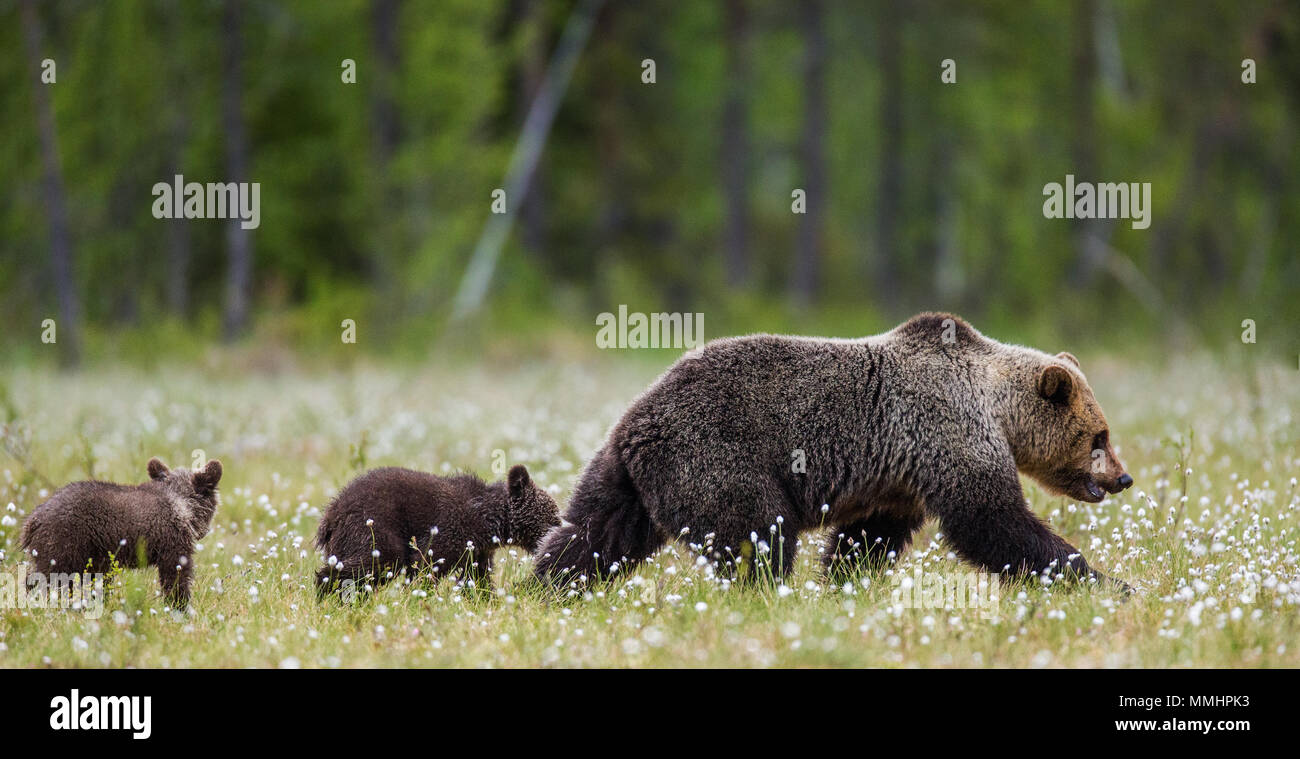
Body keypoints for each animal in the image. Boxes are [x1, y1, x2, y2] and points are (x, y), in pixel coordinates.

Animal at [20, 457, 223, 608]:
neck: (183, 505)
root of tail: (33, 520)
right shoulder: (171, 544)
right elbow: (176, 577)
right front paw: (181, 607)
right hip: (63, 543)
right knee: (49, 579)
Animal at [314, 464, 561, 596]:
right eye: (553, 517)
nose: (561, 528)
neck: (489, 522)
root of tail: (331, 514)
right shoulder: (448, 532)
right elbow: (425, 565)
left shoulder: (476, 551)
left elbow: (477, 580)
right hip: (373, 524)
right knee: (373, 562)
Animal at [533, 312, 1134, 590]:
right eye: (1099, 436)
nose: (1123, 478)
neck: (995, 407)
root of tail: (637, 421)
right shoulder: (946, 431)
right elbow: (992, 521)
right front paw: (1105, 581)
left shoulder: (897, 476)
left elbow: (868, 536)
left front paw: (844, 582)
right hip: (716, 456)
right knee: (759, 534)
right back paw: (761, 594)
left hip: (623, 475)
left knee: (590, 534)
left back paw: (545, 587)